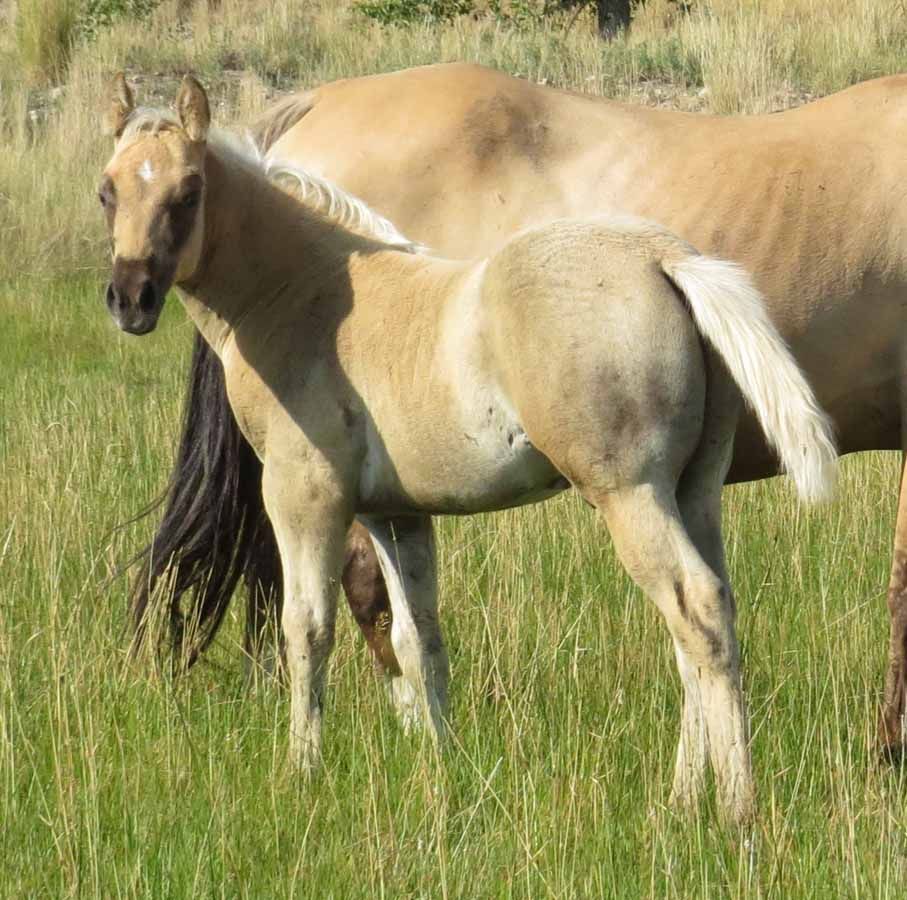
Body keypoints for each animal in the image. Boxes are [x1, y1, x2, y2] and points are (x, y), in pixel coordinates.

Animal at [100, 74, 836, 824]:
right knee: (710, 616)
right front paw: (442, 765)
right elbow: (416, 635)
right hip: (694, 492)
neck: (303, 294)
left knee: (696, 610)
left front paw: (300, 771)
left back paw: (737, 809)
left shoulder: (304, 495)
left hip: (630, 494)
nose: (131, 299)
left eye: (189, 191)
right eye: (108, 190)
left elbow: (307, 628)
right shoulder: (394, 514)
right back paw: (685, 798)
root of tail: (665, 258)